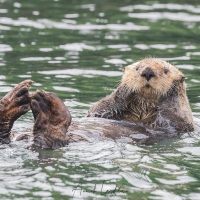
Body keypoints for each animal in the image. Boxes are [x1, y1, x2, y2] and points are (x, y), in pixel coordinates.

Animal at [0, 58, 194, 148]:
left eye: (166, 70)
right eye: (138, 67)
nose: (147, 72)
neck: (142, 108)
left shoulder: (178, 124)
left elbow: (173, 116)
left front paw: (172, 91)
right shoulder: (102, 110)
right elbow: (100, 107)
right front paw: (125, 88)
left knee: (50, 139)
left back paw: (50, 110)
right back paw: (15, 98)